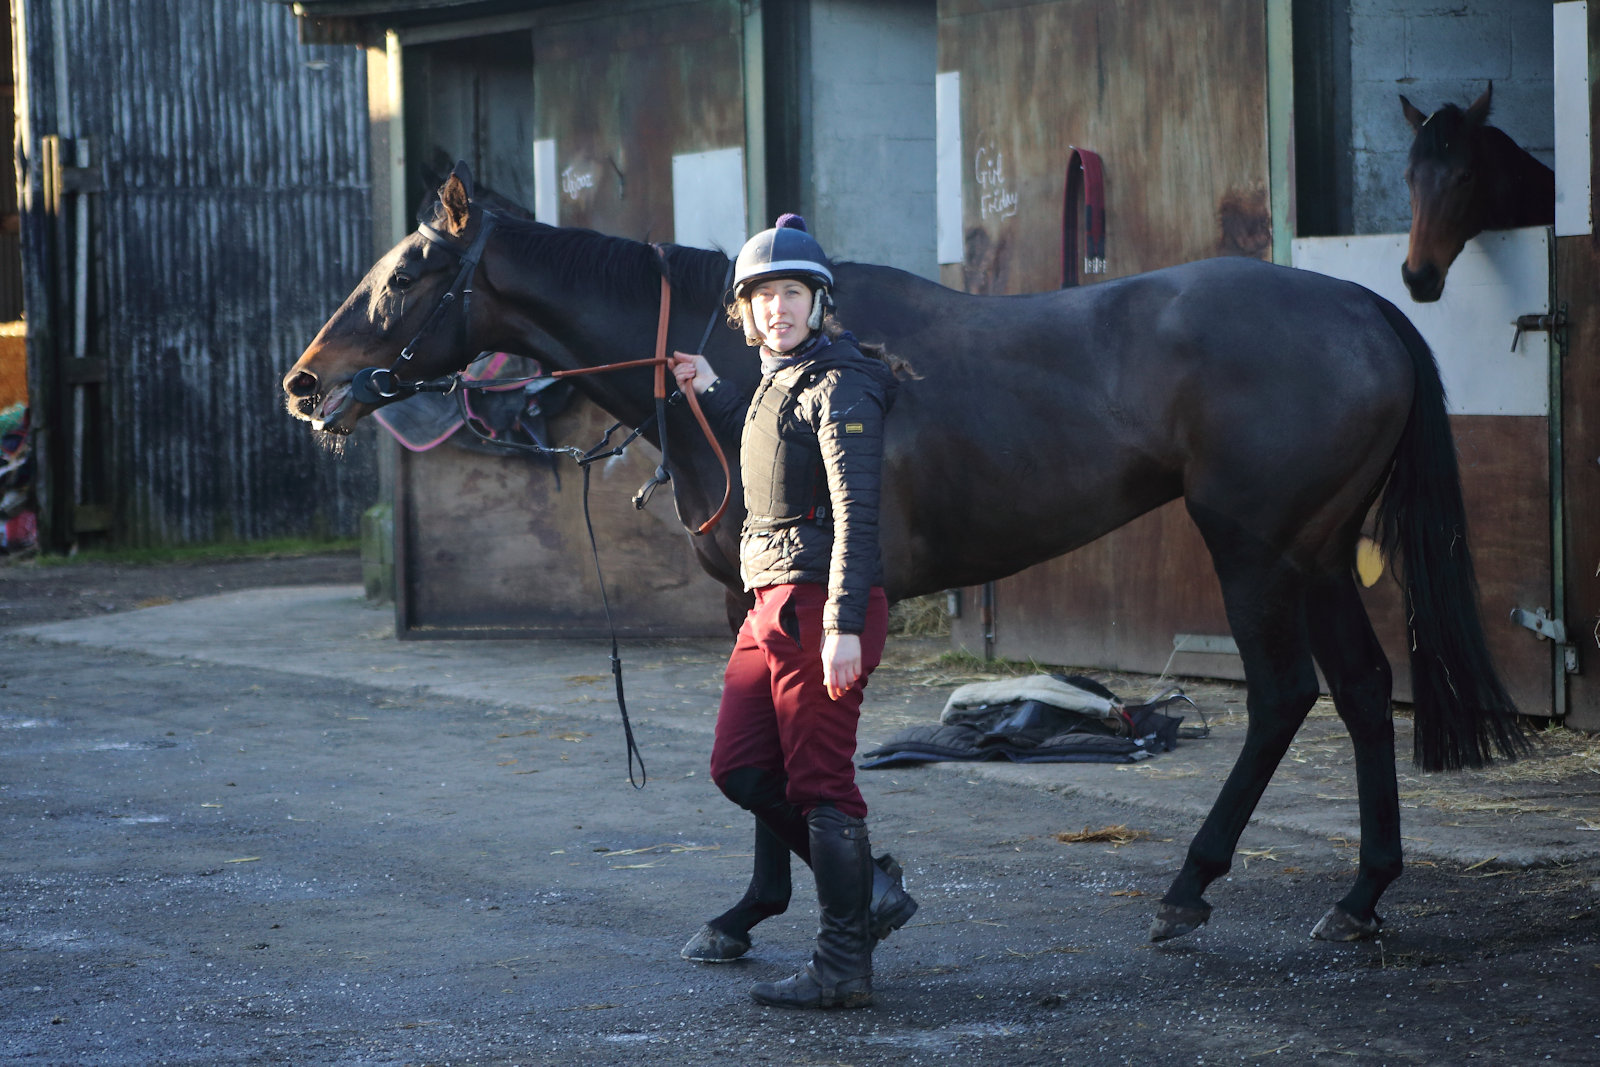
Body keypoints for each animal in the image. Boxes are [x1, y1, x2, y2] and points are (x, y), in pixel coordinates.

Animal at [282, 162, 1526, 945]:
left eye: (406, 275)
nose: (302, 382)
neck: (750, 371)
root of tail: (1367, 312)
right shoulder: (753, 601)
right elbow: (755, 764)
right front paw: (750, 911)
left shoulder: (813, 599)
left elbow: (782, 769)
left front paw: (855, 888)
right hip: (1315, 552)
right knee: (1361, 691)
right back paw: (1359, 896)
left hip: (1257, 549)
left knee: (1281, 695)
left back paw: (1189, 888)